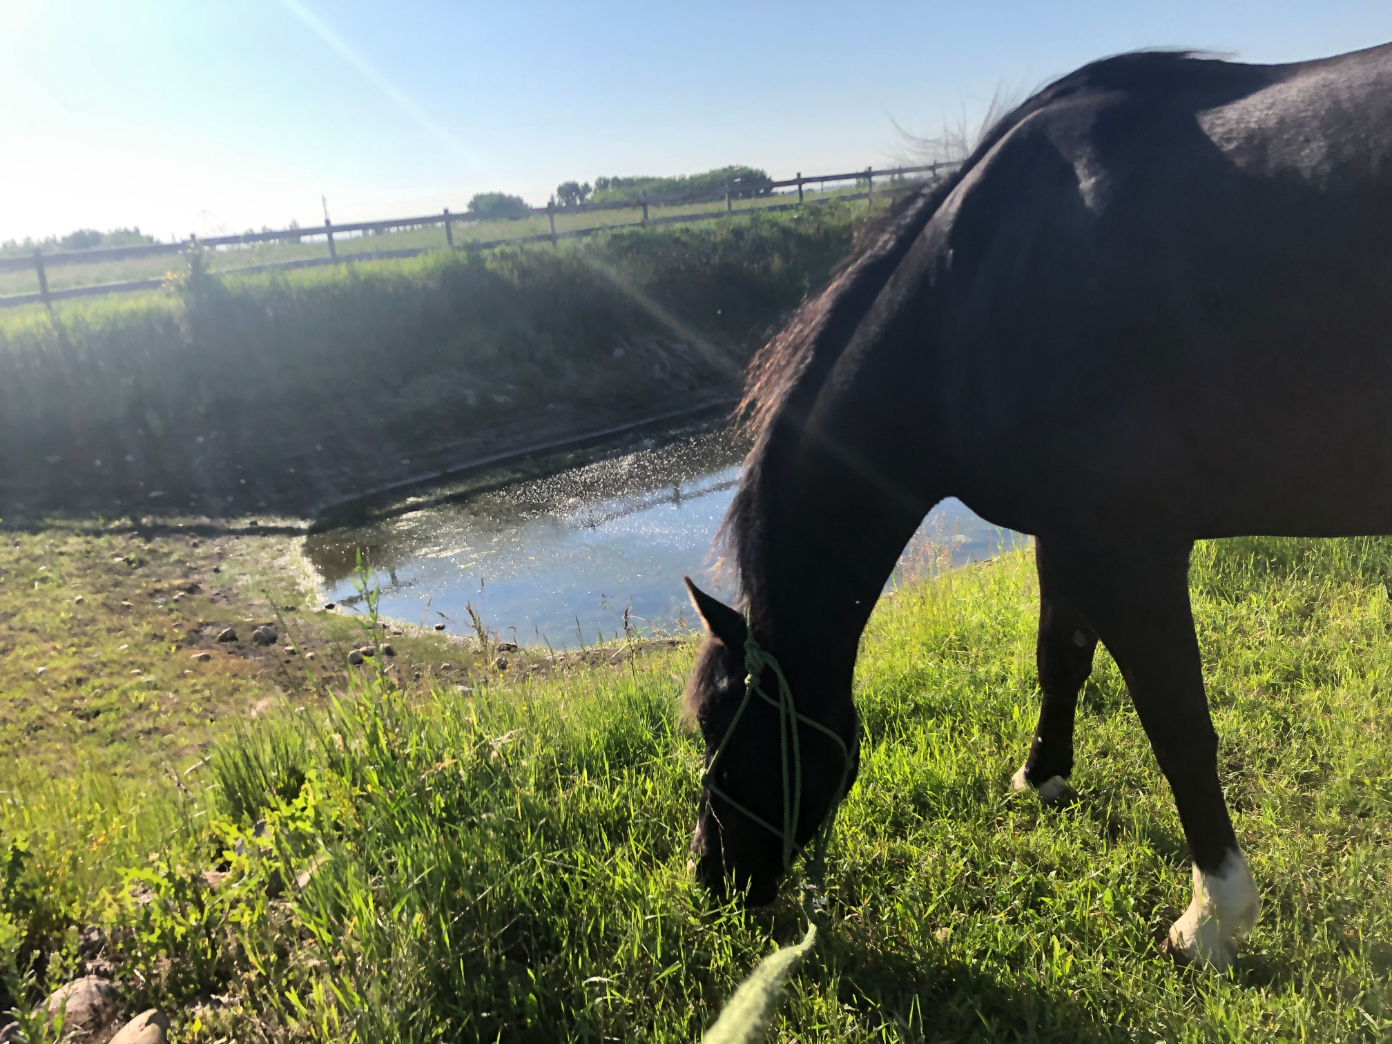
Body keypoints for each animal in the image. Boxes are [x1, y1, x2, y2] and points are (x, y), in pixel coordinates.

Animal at [681, 41, 1392, 970]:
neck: (975, 294)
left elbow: (1178, 727)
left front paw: (1212, 916)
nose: (709, 875)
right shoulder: (1067, 533)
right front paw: (1041, 775)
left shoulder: (1133, 552)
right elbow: (1061, 657)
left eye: (722, 728)